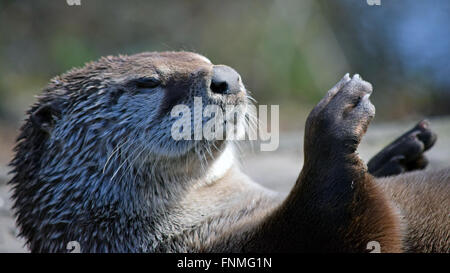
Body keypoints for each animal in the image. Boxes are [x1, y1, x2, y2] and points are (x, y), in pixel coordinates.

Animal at [7, 50, 450, 251]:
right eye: (147, 82)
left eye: (202, 58)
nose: (227, 77)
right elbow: (344, 218)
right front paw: (335, 113)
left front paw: (398, 154)